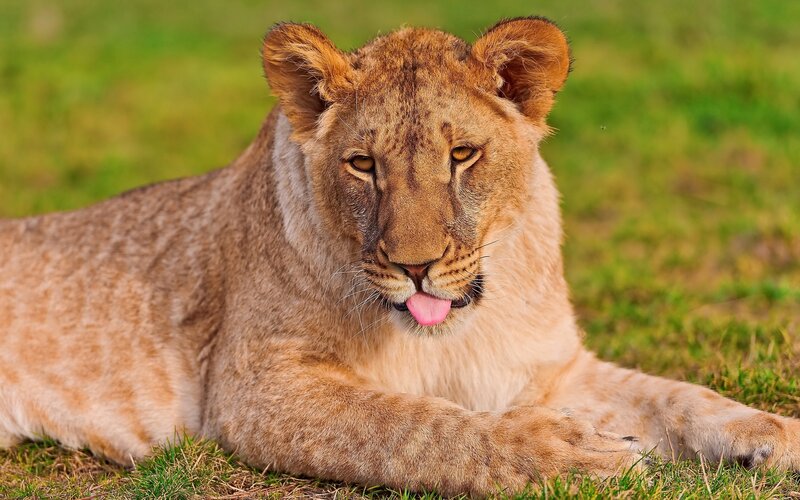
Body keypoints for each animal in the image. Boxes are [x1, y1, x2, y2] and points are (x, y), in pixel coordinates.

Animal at [0, 17, 798, 496]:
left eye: (463, 154)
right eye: (362, 164)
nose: (416, 267)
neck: (458, 328)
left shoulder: (549, 369)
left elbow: (677, 395)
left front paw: (774, 434)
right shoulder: (255, 388)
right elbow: (411, 428)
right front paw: (570, 457)